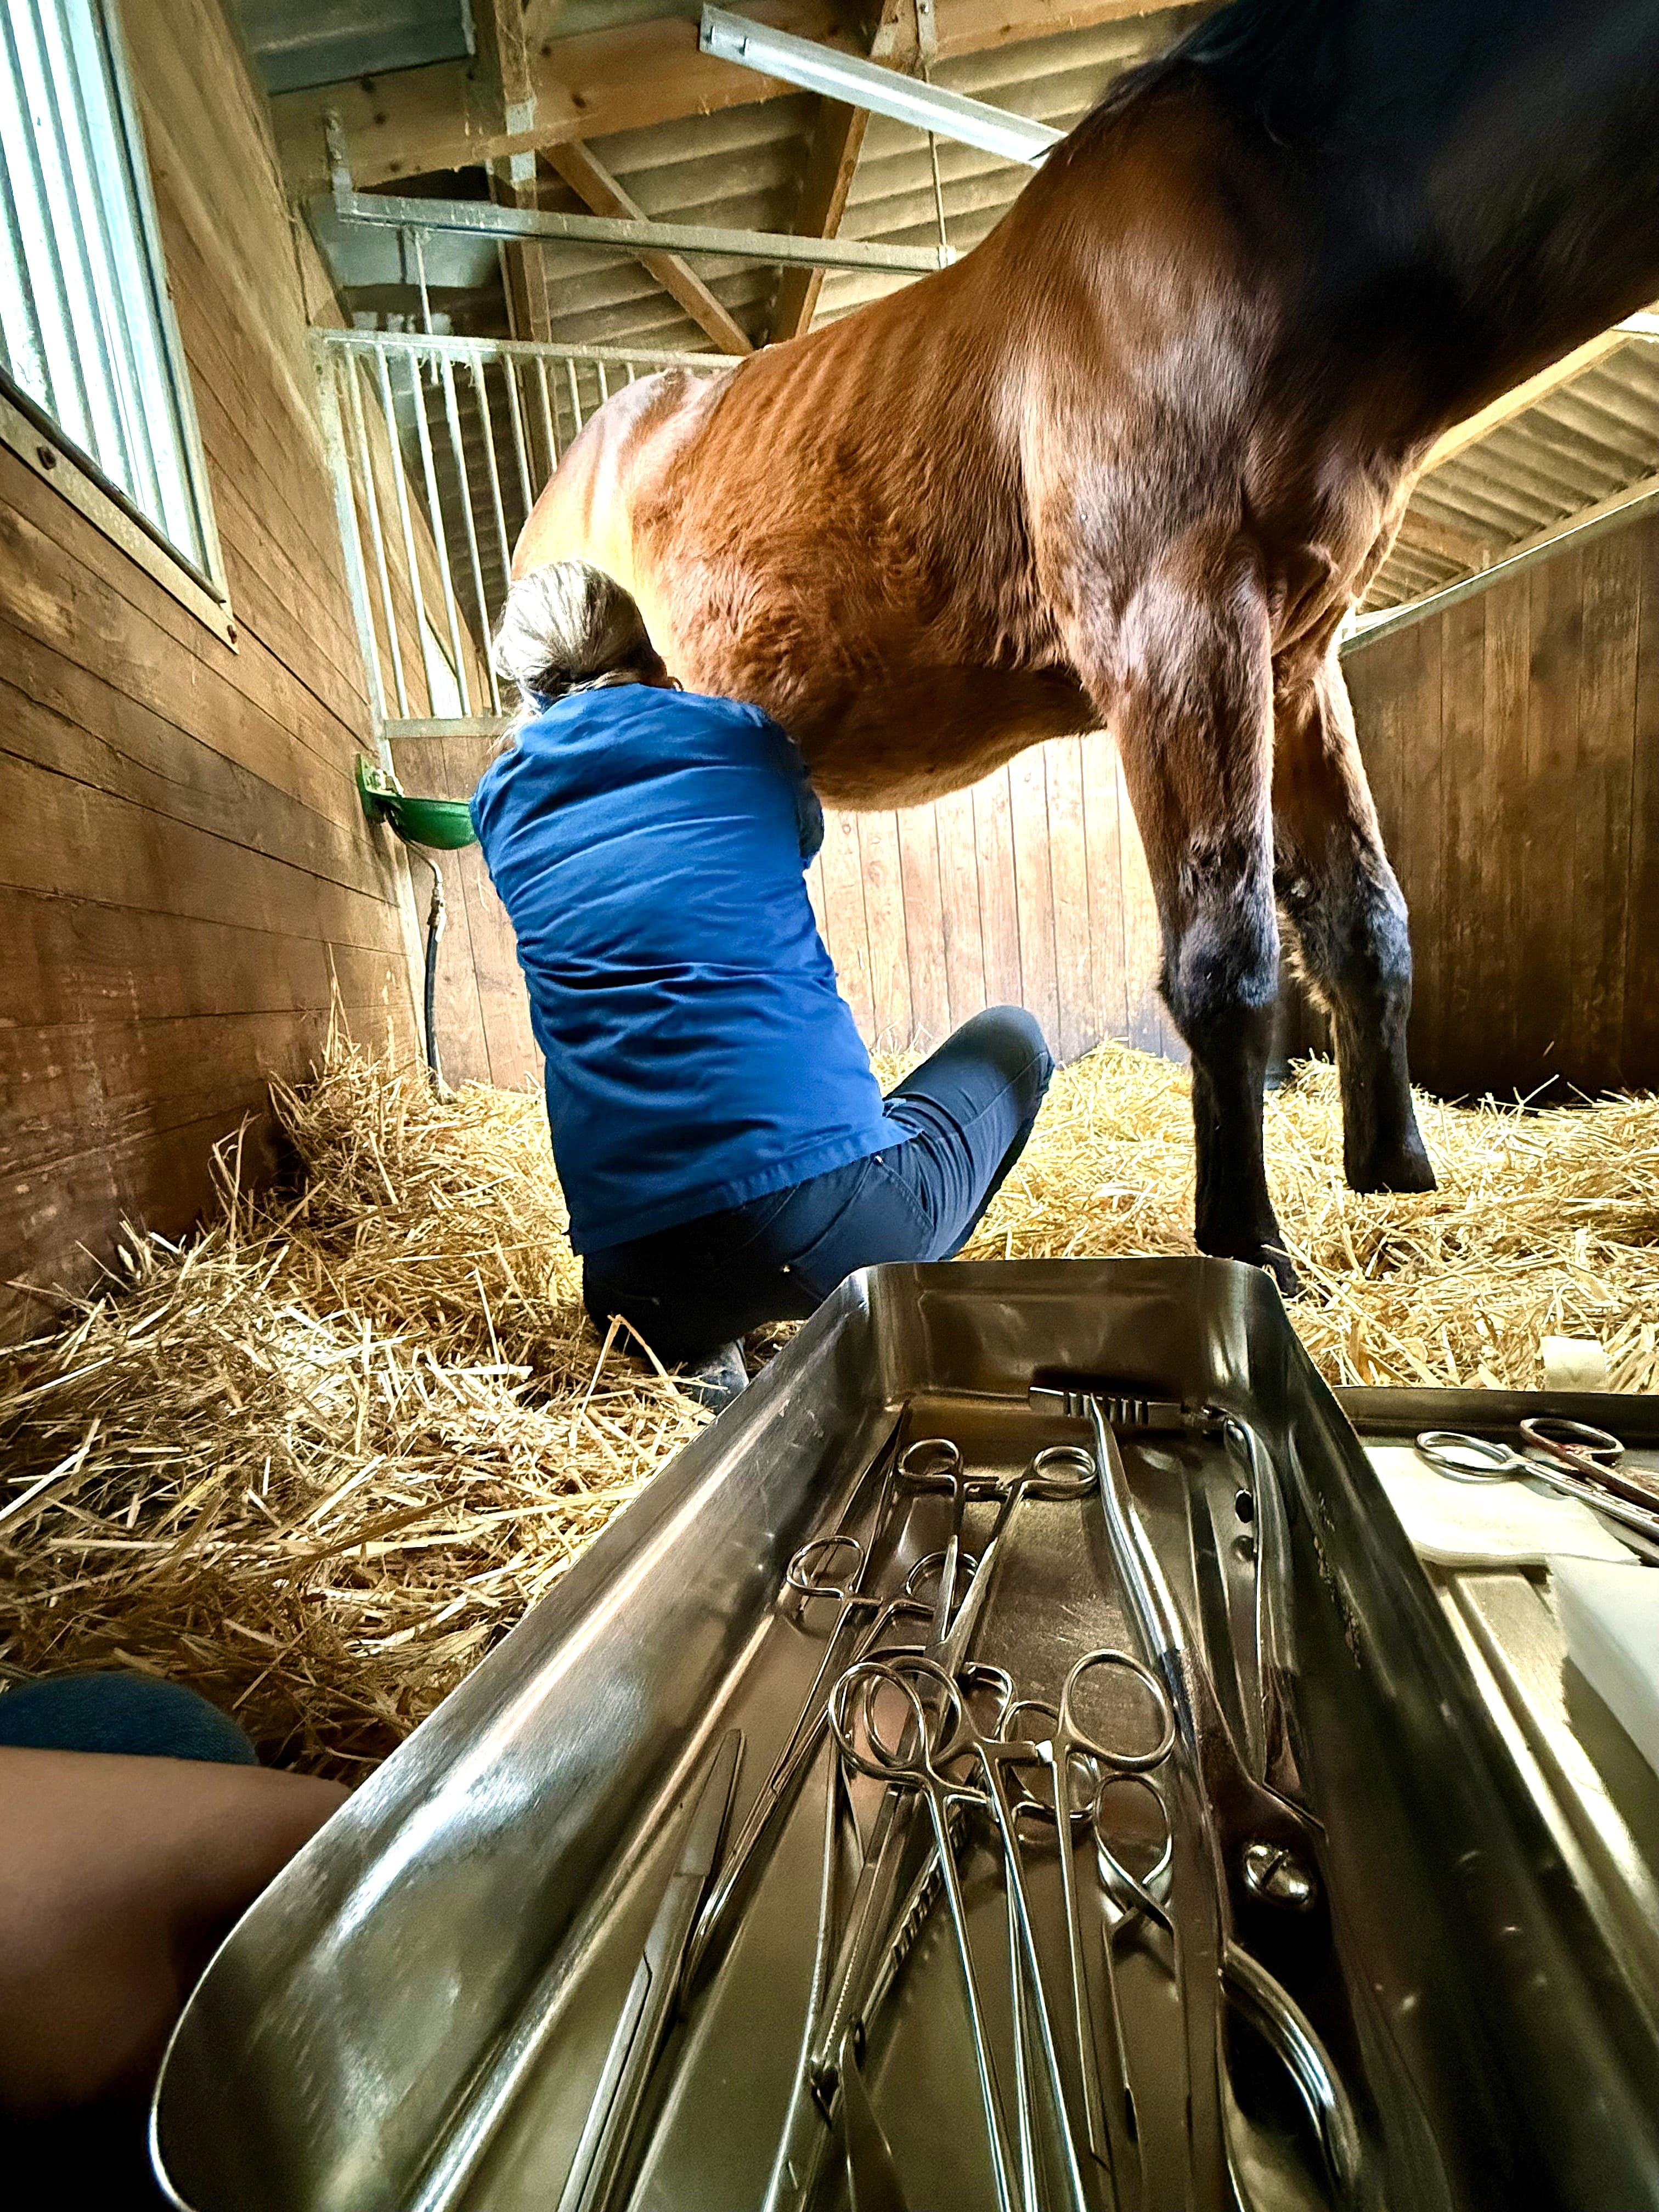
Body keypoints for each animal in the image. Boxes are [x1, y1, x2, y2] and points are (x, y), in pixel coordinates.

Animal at [515, 0, 1659, 1292]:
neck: (1282, 218)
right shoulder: (1174, 634)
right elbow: (1223, 955)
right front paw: (1248, 1246)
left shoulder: (1297, 661)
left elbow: (1363, 923)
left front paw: (1396, 1173)